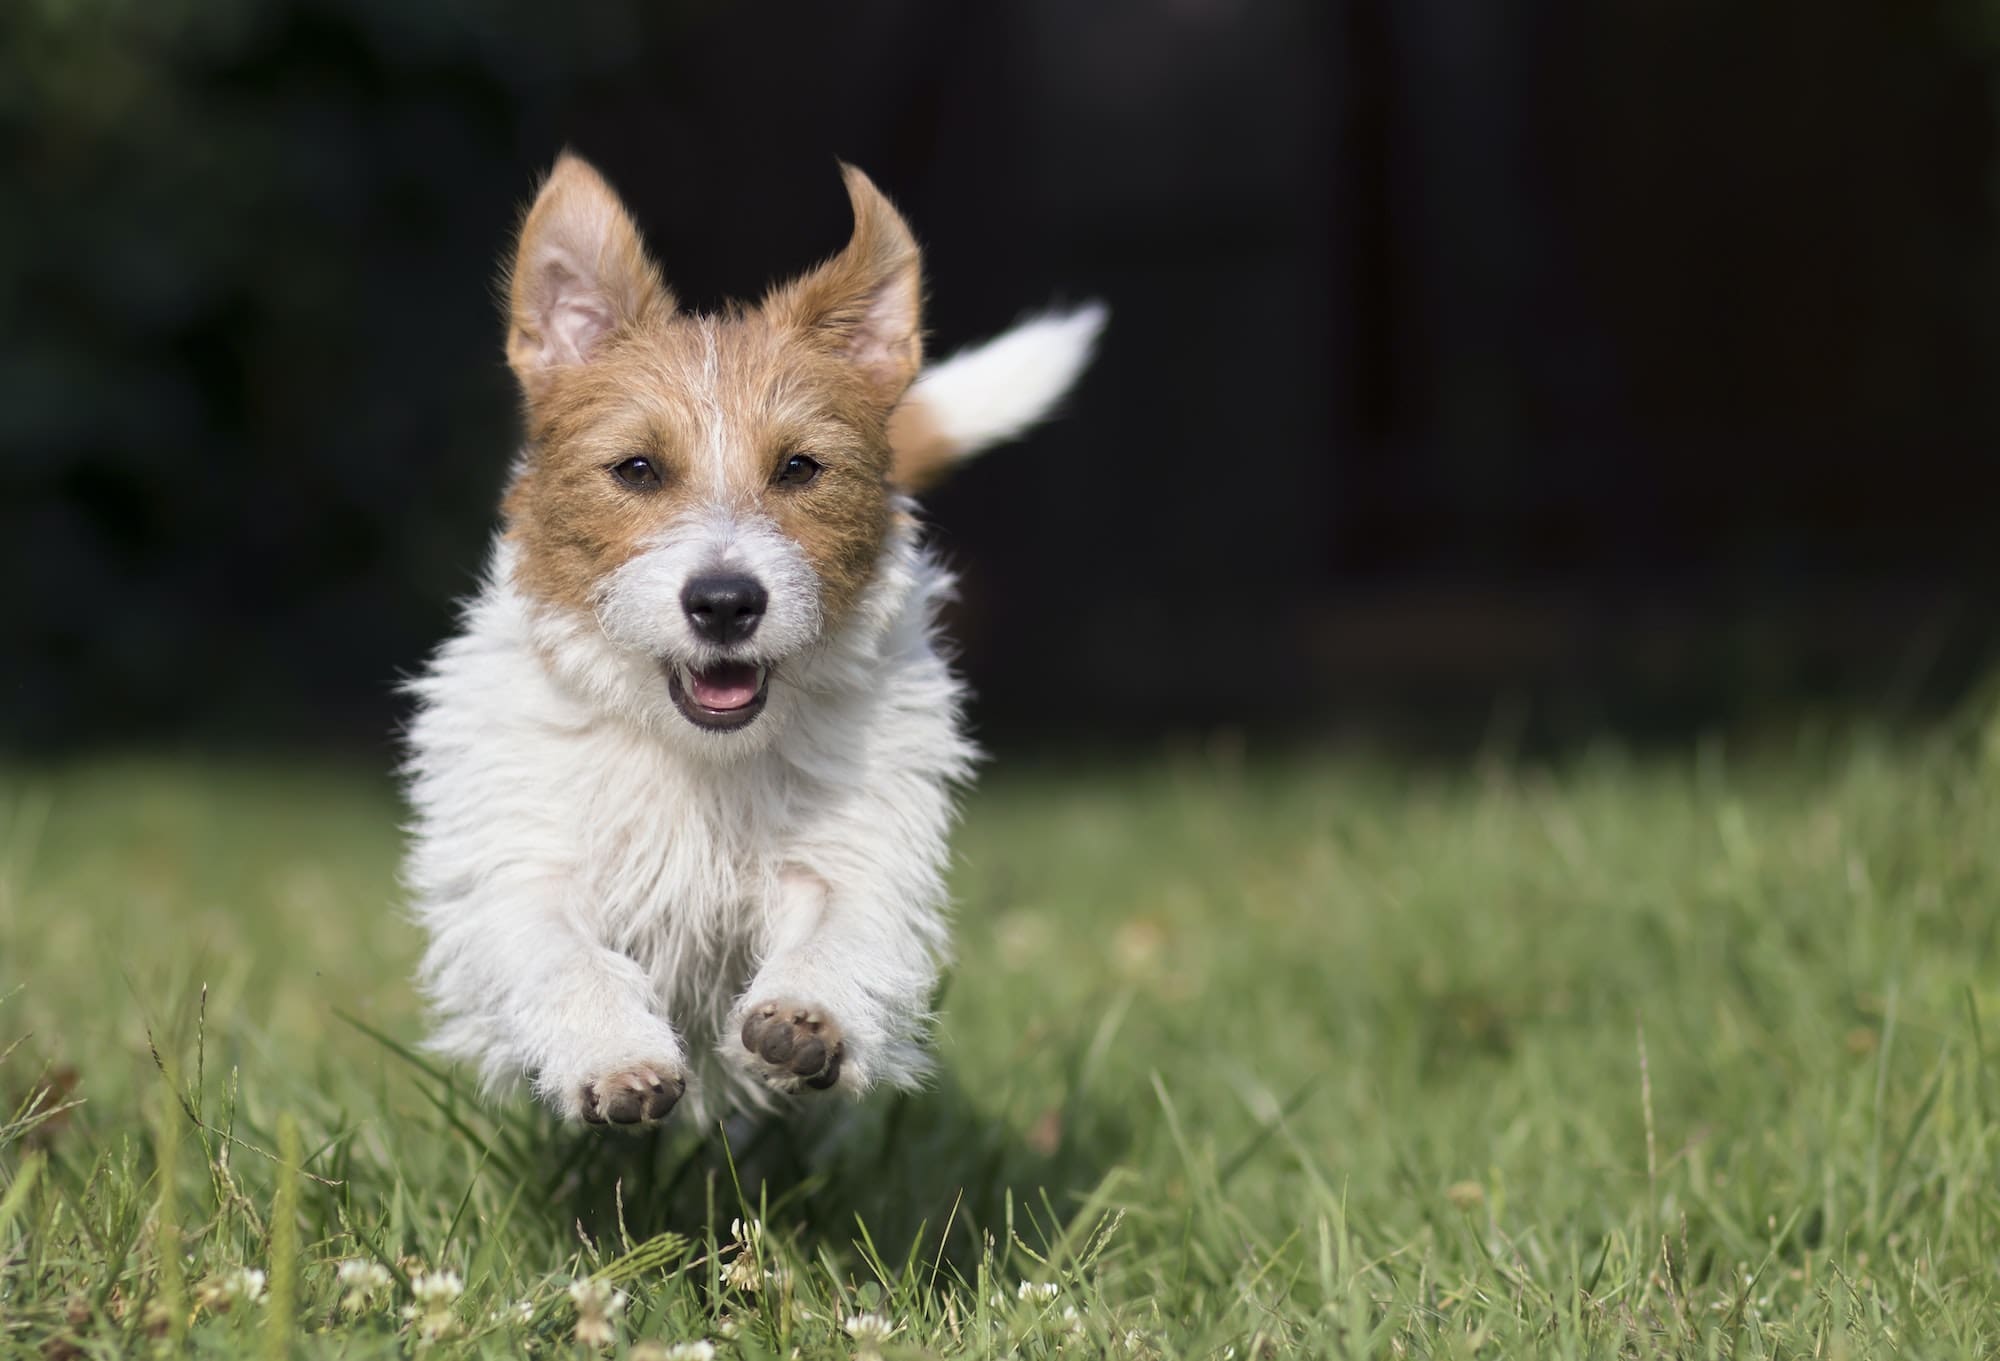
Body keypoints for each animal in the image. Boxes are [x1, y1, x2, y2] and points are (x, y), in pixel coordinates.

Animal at [398, 151, 1104, 1128]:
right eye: (637, 469)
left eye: (800, 468)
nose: (726, 602)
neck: (697, 754)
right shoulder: (524, 862)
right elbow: (561, 953)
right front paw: (613, 1054)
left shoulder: (856, 851)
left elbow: (840, 928)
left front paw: (808, 1017)